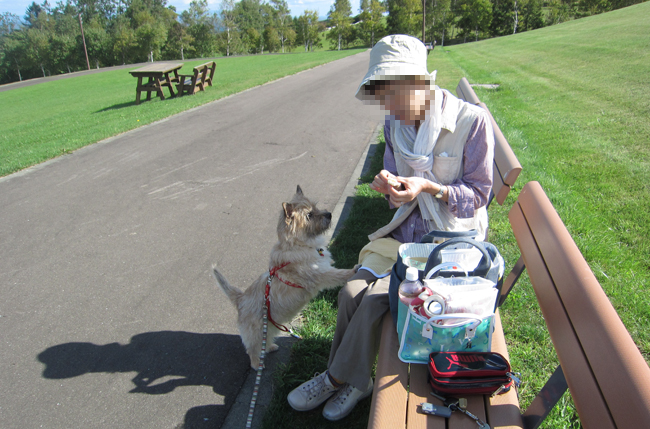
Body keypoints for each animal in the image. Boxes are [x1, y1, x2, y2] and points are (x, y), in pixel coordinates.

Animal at [211, 184, 360, 368]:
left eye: (316, 207)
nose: (329, 214)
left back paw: (270, 348)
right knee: (252, 348)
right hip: (256, 331)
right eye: (309, 215)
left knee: (265, 340)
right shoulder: (319, 274)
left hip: (270, 327)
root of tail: (240, 299)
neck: (298, 245)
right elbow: (337, 274)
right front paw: (353, 270)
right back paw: (257, 363)